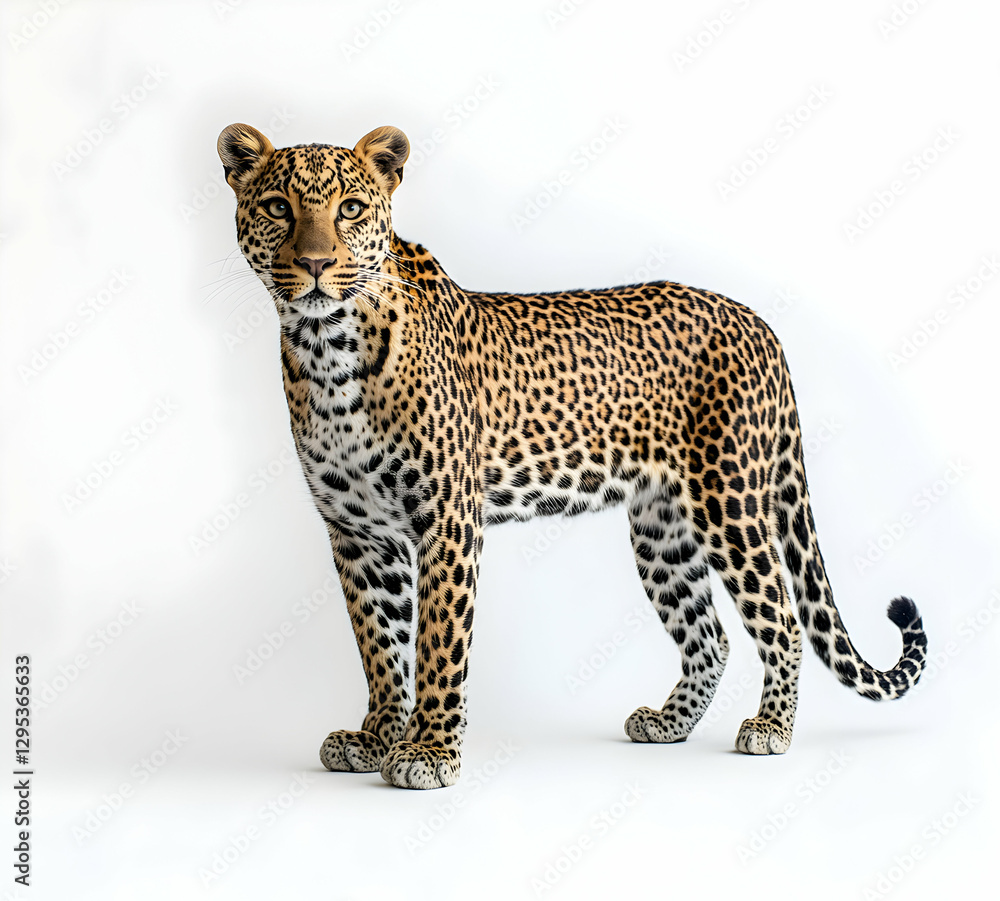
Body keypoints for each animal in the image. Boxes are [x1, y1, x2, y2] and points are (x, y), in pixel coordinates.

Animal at [217, 122, 928, 789]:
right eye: (279, 207)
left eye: (351, 210)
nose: (314, 264)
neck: (325, 349)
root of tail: (760, 323)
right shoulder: (358, 531)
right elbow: (379, 642)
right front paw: (376, 736)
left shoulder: (447, 521)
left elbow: (438, 641)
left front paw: (429, 752)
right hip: (662, 530)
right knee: (710, 635)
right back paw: (668, 723)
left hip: (731, 500)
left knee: (781, 615)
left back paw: (771, 727)